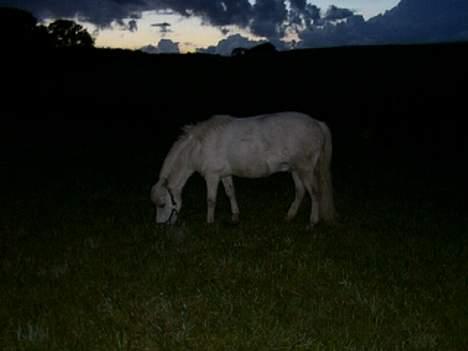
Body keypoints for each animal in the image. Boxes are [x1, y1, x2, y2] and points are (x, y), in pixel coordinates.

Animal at [152, 111, 334, 230]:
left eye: (162, 204)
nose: (160, 227)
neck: (197, 147)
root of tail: (317, 123)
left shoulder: (212, 176)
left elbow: (211, 200)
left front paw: (209, 222)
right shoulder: (224, 174)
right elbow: (230, 193)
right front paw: (235, 217)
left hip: (305, 169)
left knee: (314, 193)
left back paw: (312, 222)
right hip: (295, 169)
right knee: (300, 191)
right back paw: (289, 217)